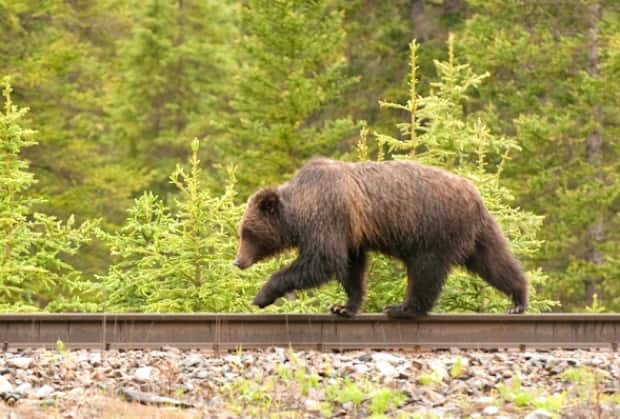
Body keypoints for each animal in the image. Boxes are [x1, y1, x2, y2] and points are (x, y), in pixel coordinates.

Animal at [232, 158, 528, 318]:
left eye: (248, 233)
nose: (238, 261)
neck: (302, 210)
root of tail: (475, 194)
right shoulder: (351, 233)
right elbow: (351, 267)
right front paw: (344, 306)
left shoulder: (329, 217)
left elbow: (323, 260)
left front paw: (262, 295)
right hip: (476, 232)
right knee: (494, 261)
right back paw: (518, 300)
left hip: (433, 230)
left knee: (426, 270)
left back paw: (402, 307)